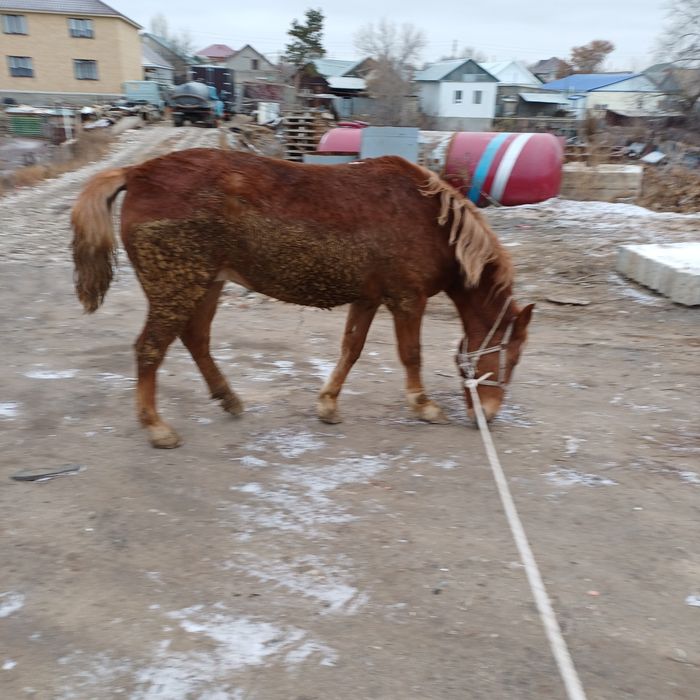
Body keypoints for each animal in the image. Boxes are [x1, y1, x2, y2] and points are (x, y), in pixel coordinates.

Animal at [71, 148, 533, 448]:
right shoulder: (407, 298)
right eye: (510, 358)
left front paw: (327, 404)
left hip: (207, 284)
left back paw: (228, 398)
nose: (488, 414)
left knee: (196, 340)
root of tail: (138, 172)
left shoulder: (367, 298)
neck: (431, 220)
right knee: (150, 349)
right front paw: (424, 406)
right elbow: (410, 354)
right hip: (177, 288)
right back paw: (156, 426)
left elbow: (351, 348)